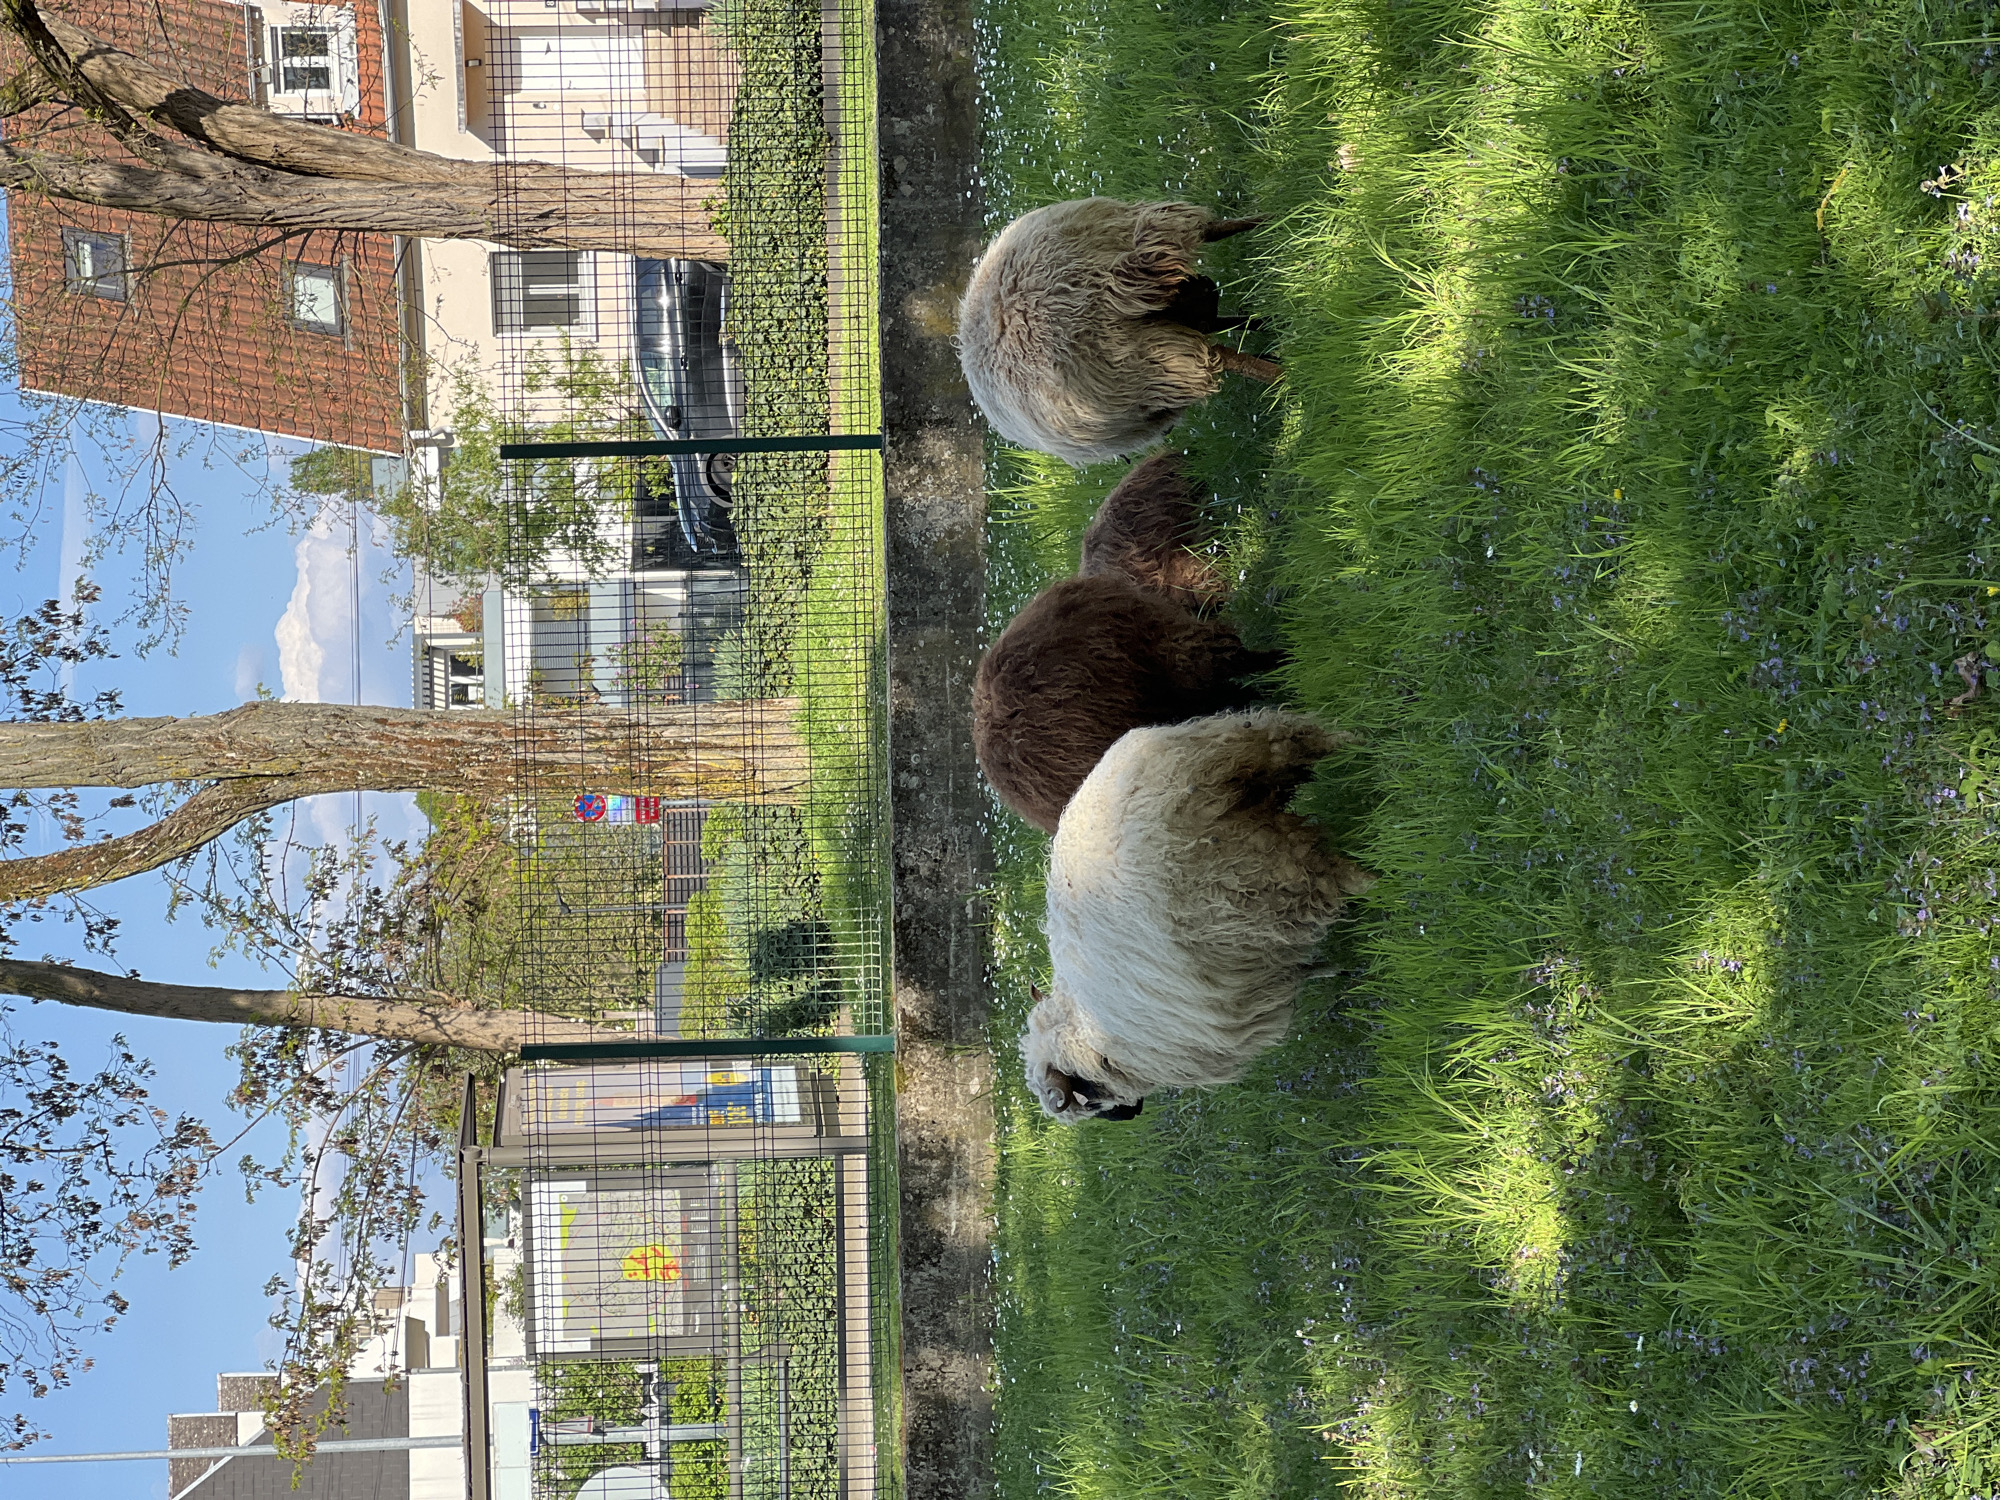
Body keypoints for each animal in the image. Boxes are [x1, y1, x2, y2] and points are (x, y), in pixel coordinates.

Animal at [1021, 710, 1374, 1125]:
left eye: (1087, 1101)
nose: (1130, 1116)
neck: (1086, 1030)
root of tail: (1177, 775)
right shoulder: (1254, 972)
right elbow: (1304, 970)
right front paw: (1336, 970)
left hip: (1245, 879)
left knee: (1332, 876)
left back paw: (1379, 882)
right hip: (1250, 753)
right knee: (1302, 739)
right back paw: (1362, 740)